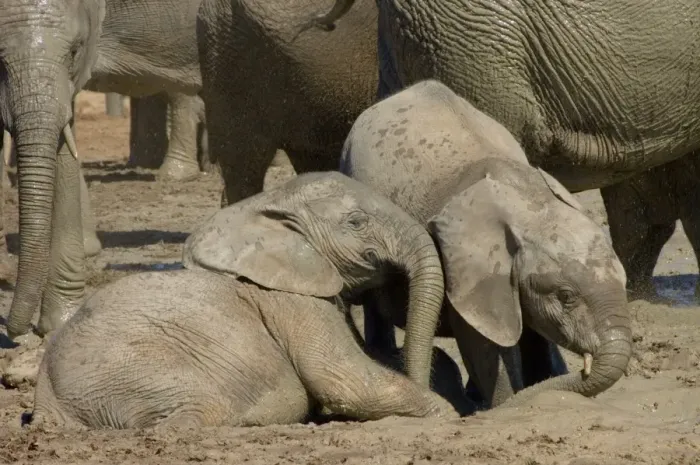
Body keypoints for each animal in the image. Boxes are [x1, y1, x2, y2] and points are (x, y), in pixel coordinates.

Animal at [29, 171, 464, 428]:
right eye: (356, 222)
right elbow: (344, 380)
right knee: (195, 413)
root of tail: (45, 397)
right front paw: (447, 414)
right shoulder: (291, 300)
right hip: (130, 371)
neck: (262, 206)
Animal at [339, 80, 633, 408]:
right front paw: (504, 403)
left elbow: (532, 336)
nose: (584, 369)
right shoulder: (466, 271)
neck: (529, 204)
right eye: (566, 296)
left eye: (624, 283)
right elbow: (484, 347)